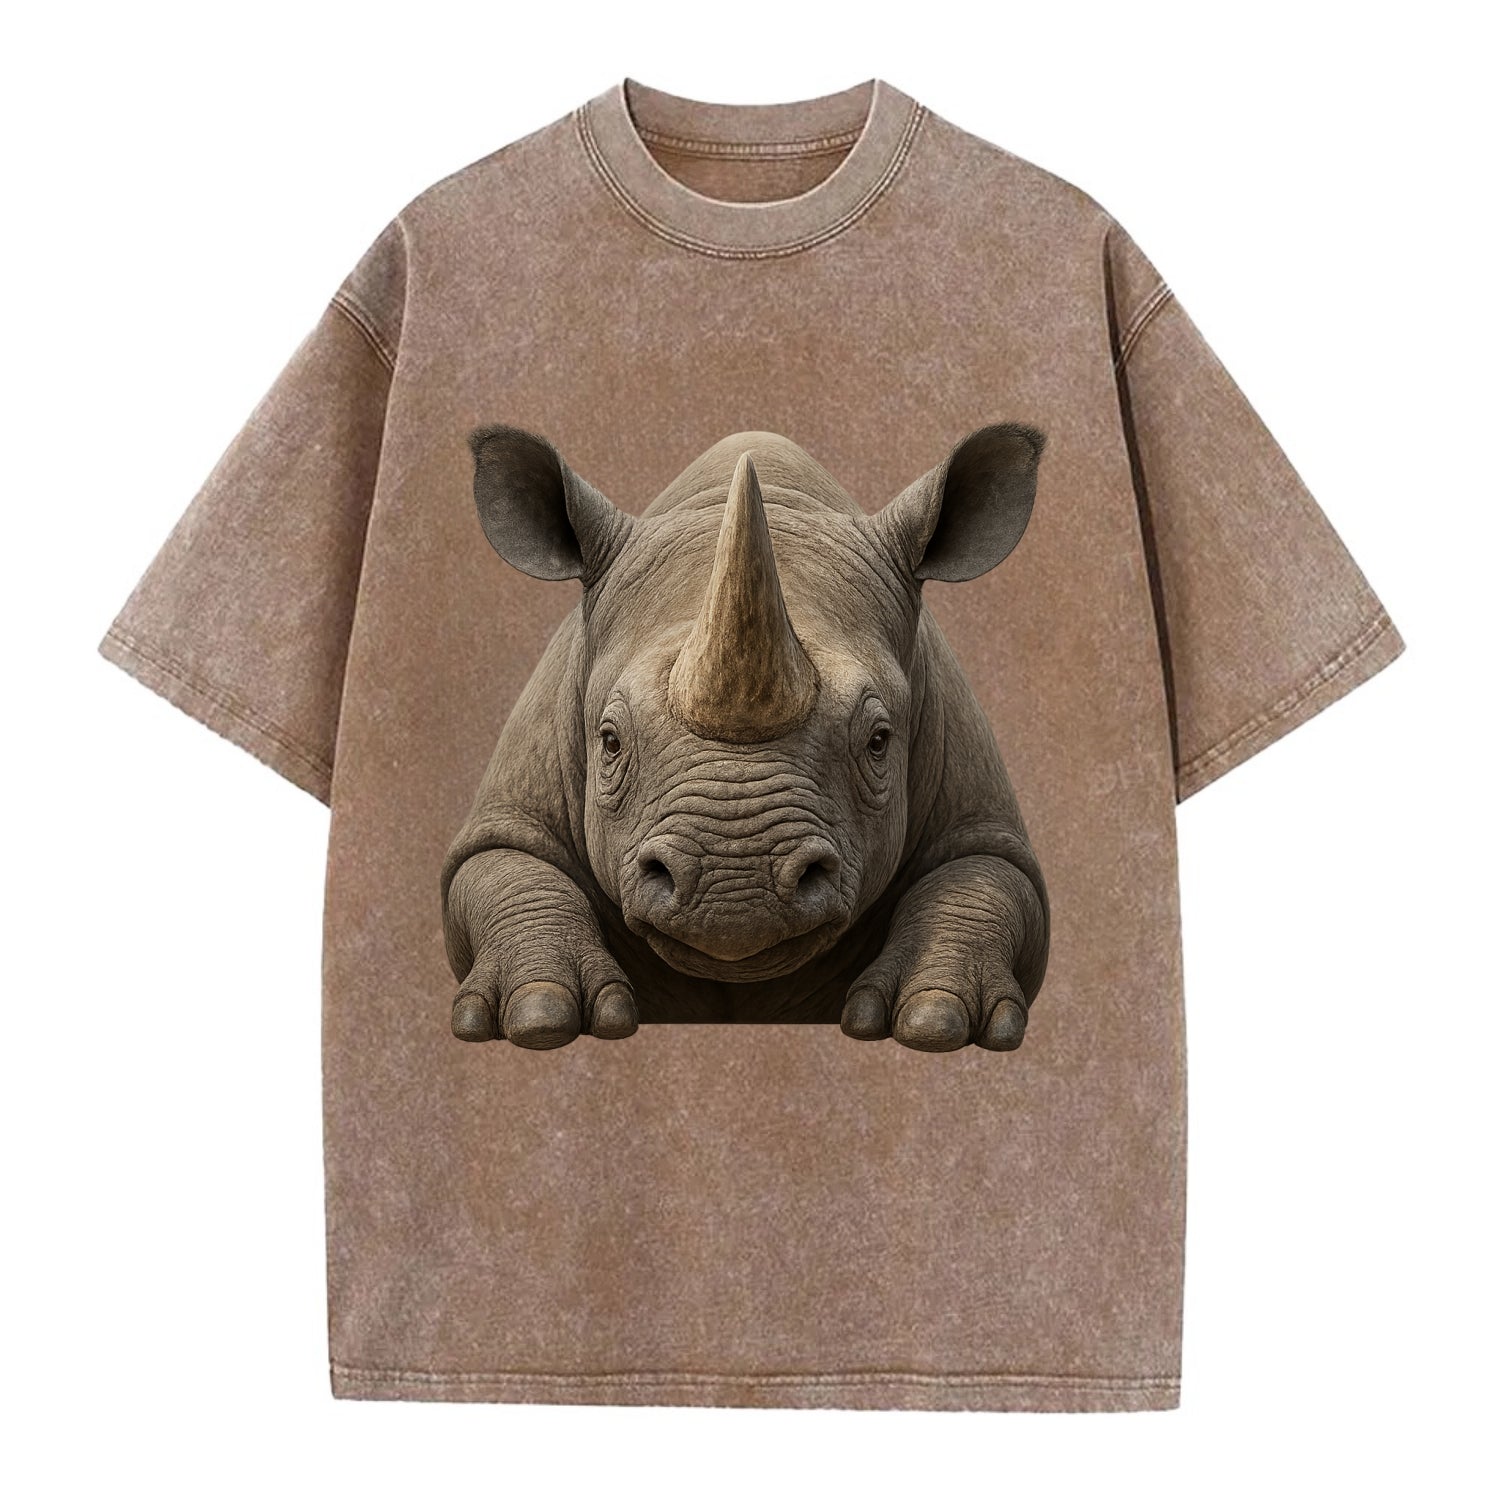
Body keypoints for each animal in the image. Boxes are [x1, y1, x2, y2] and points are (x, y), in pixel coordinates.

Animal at [440, 423, 1050, 1053]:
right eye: (609, 741)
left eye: (879, 741)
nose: (735, 890)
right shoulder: (513, 807)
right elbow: (504, 866)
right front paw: (540, 1015)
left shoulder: (975, 805)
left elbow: (983, 877)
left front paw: (935, 1020)